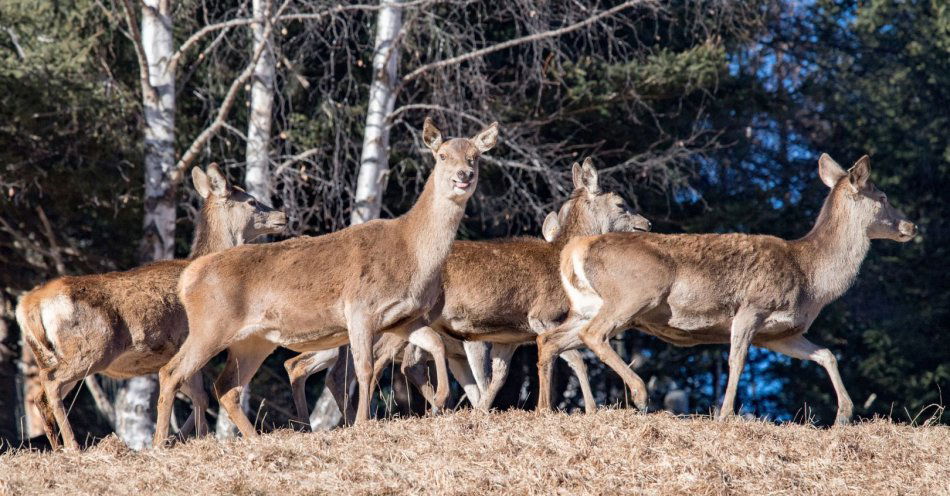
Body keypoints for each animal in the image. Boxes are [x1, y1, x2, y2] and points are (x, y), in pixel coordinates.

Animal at [15, 165, 286, 452]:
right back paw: (73, 445)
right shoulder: (188, 339)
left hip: (50, 355)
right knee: (51, 383)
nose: (283, 216)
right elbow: (198, 395)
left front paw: (191, 437)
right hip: (92, 348)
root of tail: (27, 307)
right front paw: (188, 438)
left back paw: (58, 447)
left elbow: (199, 397)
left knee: (40, 396)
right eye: (252, 201)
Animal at [152, 117, 498, 446]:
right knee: (171, 372)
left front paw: (440, 399)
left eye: (475, 156)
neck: (411, 252)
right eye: (442, 155)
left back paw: (254, 439)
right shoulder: (360, 307)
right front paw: (361, 423)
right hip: (211, 325)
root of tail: (187, 278)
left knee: (226, 387)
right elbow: (364, 368)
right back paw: (159, 443)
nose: (464, 175)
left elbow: (435, 343)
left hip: (254, 339)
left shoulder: (403, 318)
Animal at [536, 154, 916, 422]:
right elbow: (737, 359)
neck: (811, 277)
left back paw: (544, 408)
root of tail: (575, 249)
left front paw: (844, 414)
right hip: (634, 294)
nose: (911, 225)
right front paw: (726, 413)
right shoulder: (752, 308)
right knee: (593, 335)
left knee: (550, 341)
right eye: (883, 196)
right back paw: (641, 394)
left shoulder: (780, 334)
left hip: (586, 306)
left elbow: (827, 354)